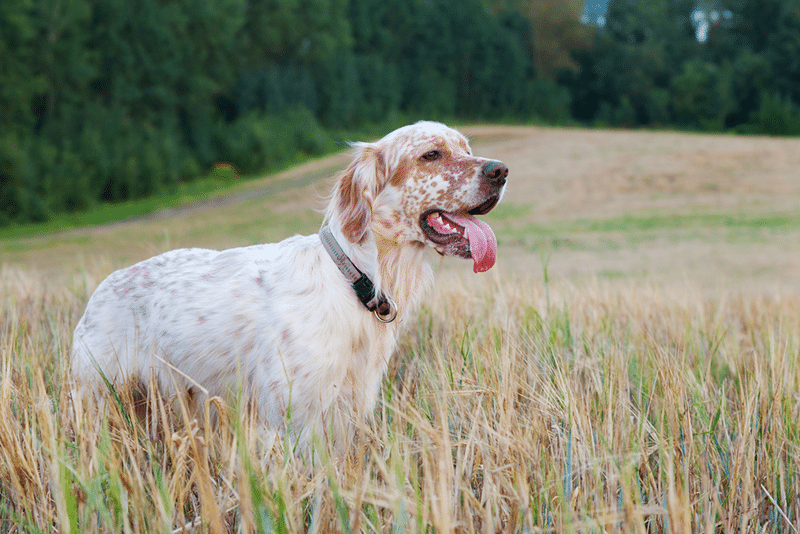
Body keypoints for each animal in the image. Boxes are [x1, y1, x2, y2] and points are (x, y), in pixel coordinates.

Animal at [76, 121, 512, 448]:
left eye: (466, 147)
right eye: (431, 155)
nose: (501, 171)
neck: (357, 277)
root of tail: (100, 290)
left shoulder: (346, 413)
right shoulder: (287, 423)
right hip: (96, 398)